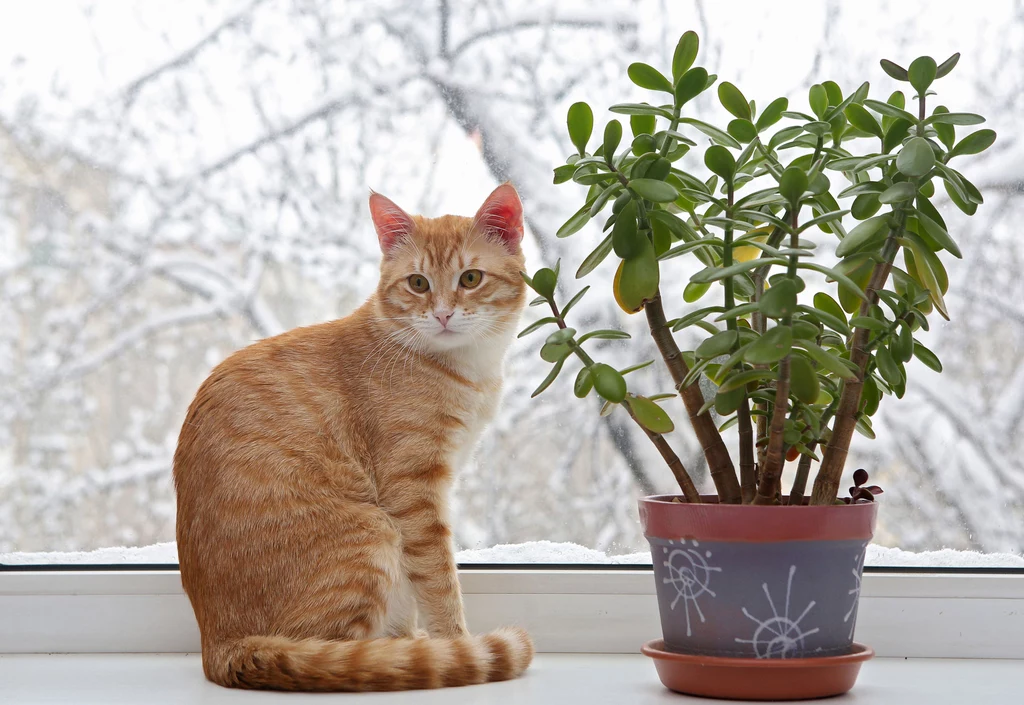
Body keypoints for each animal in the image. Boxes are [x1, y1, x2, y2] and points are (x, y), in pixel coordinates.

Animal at [173, 183, 532, 692]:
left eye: (471, 278)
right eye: (418, 283)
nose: (443, 315)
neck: (465, 368)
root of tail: (221, 646)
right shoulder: (414, 494)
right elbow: (439, 579)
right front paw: (454, 642)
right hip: (373, 534)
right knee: (339, 654)